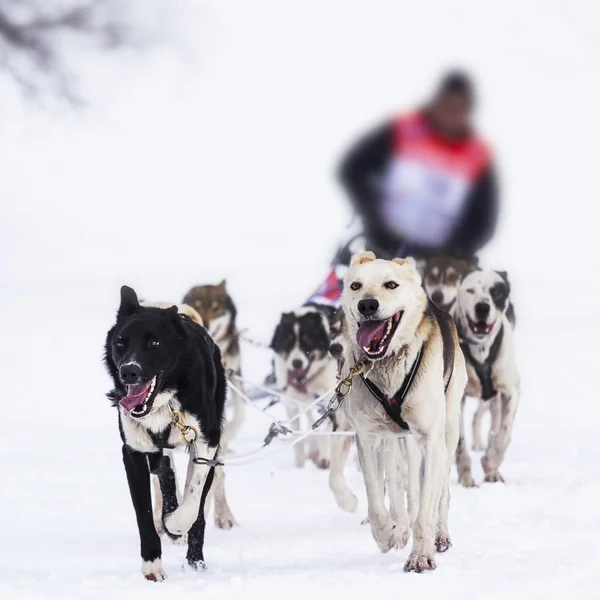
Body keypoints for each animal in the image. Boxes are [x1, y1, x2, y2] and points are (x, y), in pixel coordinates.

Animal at [104, 288, 226, 580]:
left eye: (154, 343)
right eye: (120, 343)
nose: (129, 371)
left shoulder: (207, 443)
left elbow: (192, 504)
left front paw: (175, 525)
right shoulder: (134, 452)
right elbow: (144, 513)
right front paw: (152, 565)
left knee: (198, 507)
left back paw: (195, 560)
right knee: (166, 472)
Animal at [270, 304, 338, 468]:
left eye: (308, 341)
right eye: (287, 341)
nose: (297, 363)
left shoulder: (331, 397)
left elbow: (326, 427)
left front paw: (325, 457)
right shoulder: (291, 402)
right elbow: (297, 435)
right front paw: (300, 465)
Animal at [336, 252, 466, 572]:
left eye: (391, 284)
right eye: (356, 285)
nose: (367, 305)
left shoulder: (431, 441)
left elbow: (426, 506)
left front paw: (420, 555)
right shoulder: (368, 437)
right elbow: (376, 497)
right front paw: (386, 534)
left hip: (447, 434)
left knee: (440, 492)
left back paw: (440, 535)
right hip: (394, 440)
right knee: (397, 486)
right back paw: (400, 527)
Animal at [452, 270, 516, 486]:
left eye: (495, 292)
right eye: (470, 290)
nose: (482, 307)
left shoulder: (510, 392)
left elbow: (503, 434)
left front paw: (490, 462)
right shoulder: (456, 399)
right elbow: (460, 442)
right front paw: (465, 476)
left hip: (494, 401)